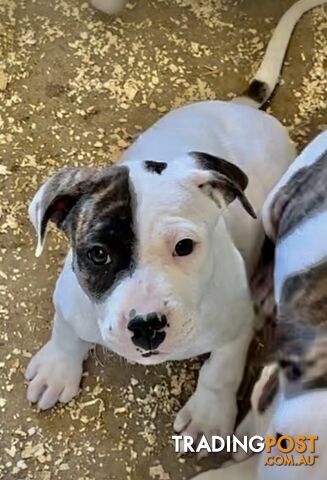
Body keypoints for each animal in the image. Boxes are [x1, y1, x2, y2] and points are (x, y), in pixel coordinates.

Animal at [26, 0, 326, 446]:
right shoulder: (70, 295)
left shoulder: (236, 322)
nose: (146, 326)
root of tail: (239, 108)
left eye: (184, 247)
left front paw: (207, 414)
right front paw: (57, 367)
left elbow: (221, 368)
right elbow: (65, 328)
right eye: (97, 255)